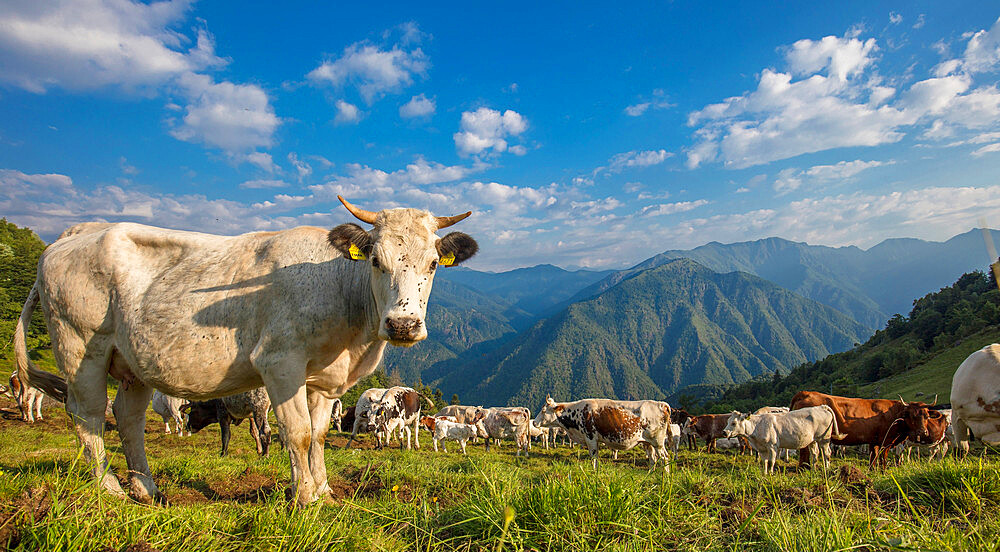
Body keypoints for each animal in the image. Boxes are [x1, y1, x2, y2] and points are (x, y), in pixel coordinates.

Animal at [10, 197, 480, 504]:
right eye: (376, 261)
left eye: (433, 264)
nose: (402, 325)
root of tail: (76, 233)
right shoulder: (279, 363)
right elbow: (298, 433)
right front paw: (304, 499)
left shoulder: (322, 379)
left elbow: (319, 435)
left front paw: (325, 491)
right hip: (80, 348)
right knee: (88, 416)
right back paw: (109, 488)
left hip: (133, 364)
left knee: (127, 419)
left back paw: (147, 488)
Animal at [536, 396, 668, 470]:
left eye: (543, 410)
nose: (534, 422)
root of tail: (662, 404)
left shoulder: (591, 438)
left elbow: (594, 457)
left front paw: (594, 472)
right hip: (647, 443)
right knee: (652, 459)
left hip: (658, 442)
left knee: (665, 458)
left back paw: (665, 479)